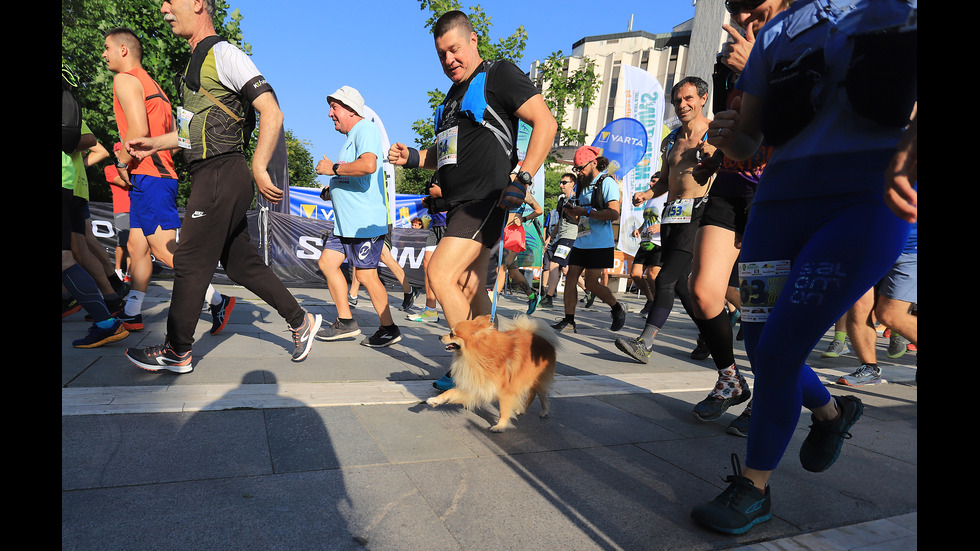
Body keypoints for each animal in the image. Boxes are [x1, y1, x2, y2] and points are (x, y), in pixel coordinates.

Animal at [426, 312, 560, 434]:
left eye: (452, 334)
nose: (439, 337)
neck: (479, 355)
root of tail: (542, 338)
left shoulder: (506, 391)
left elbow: (503, 410)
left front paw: (500, 426)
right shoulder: (476, 386)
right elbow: (450, 392)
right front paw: (435, 400)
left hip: (536, 379)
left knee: (539, 395)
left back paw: (544, 411)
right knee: (536, 394)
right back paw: (524, 410)